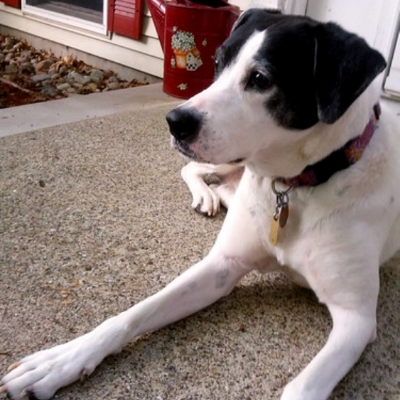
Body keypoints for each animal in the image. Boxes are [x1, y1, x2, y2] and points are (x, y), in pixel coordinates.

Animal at [2, 7, 396, 400]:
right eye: (219, 62)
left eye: (260, 78)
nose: (175, 121)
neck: (295, 186)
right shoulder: (222, 266)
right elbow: (130, 315)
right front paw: (59, 361)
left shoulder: (357, 320)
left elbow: (301, 389)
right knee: (193, 169)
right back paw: (205, 195)